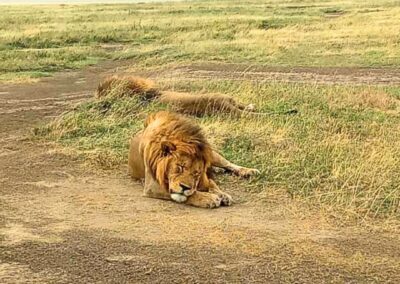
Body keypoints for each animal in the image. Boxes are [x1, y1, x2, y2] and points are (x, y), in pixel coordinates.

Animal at [127, 111, 260, 209]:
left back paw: (248, 171)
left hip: (212, 154)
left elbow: (210, 184)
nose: (185, 187)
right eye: (180, 167)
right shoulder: (152, 186)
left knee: (227, 164)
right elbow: (187, 194)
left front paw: (221, 194)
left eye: (196, 173)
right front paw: (208, 198)